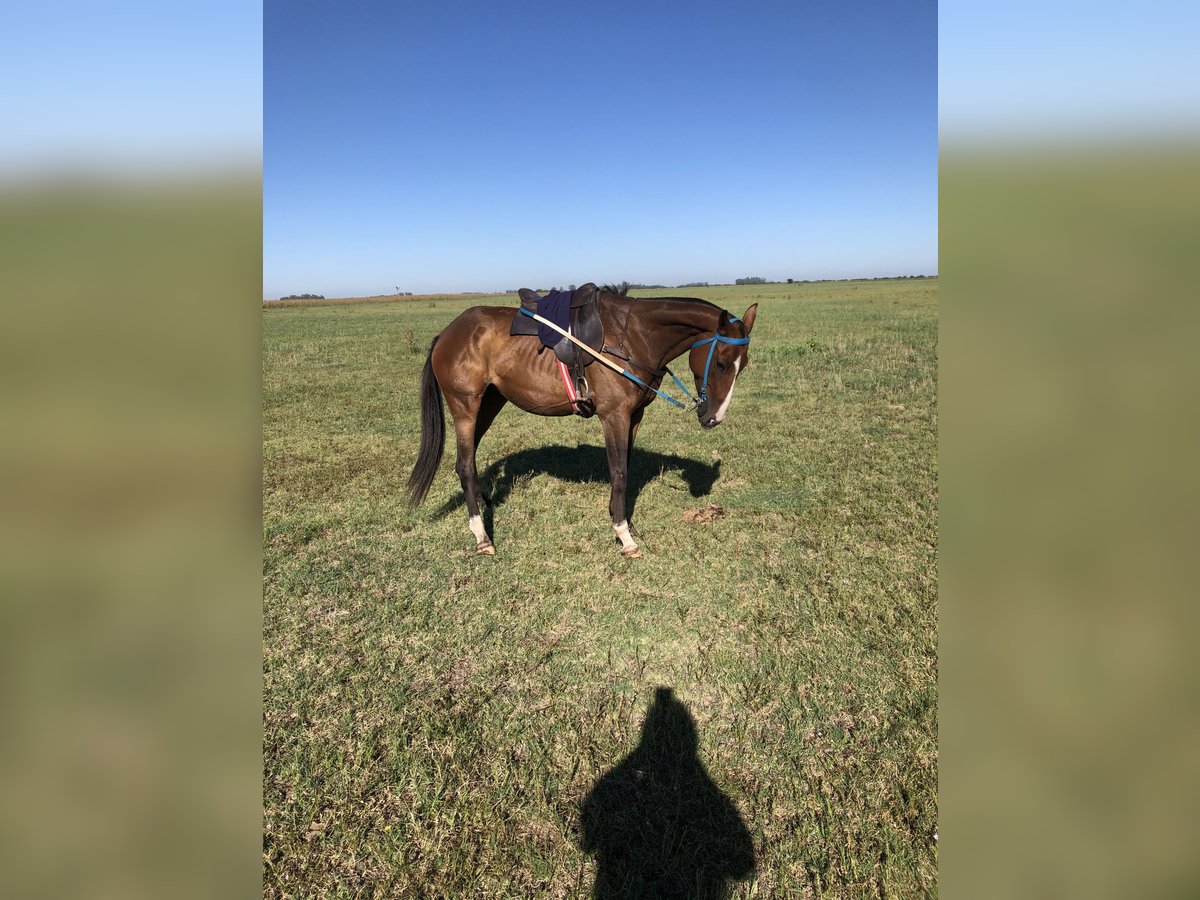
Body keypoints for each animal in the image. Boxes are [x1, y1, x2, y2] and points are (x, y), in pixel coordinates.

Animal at [403, 285, 758, 556]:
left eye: (743, 365)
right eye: (722, 363)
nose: (713, 418)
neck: (633, 338)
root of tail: (447, 333)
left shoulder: (634, 416)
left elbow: (626, 466)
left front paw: (621, 519)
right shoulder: (614, 416)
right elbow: (619, 471)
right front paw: (624, 535)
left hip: (489, 404)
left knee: (468, 461)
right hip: (466, 406)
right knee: (465, 465)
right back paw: (481, 535)